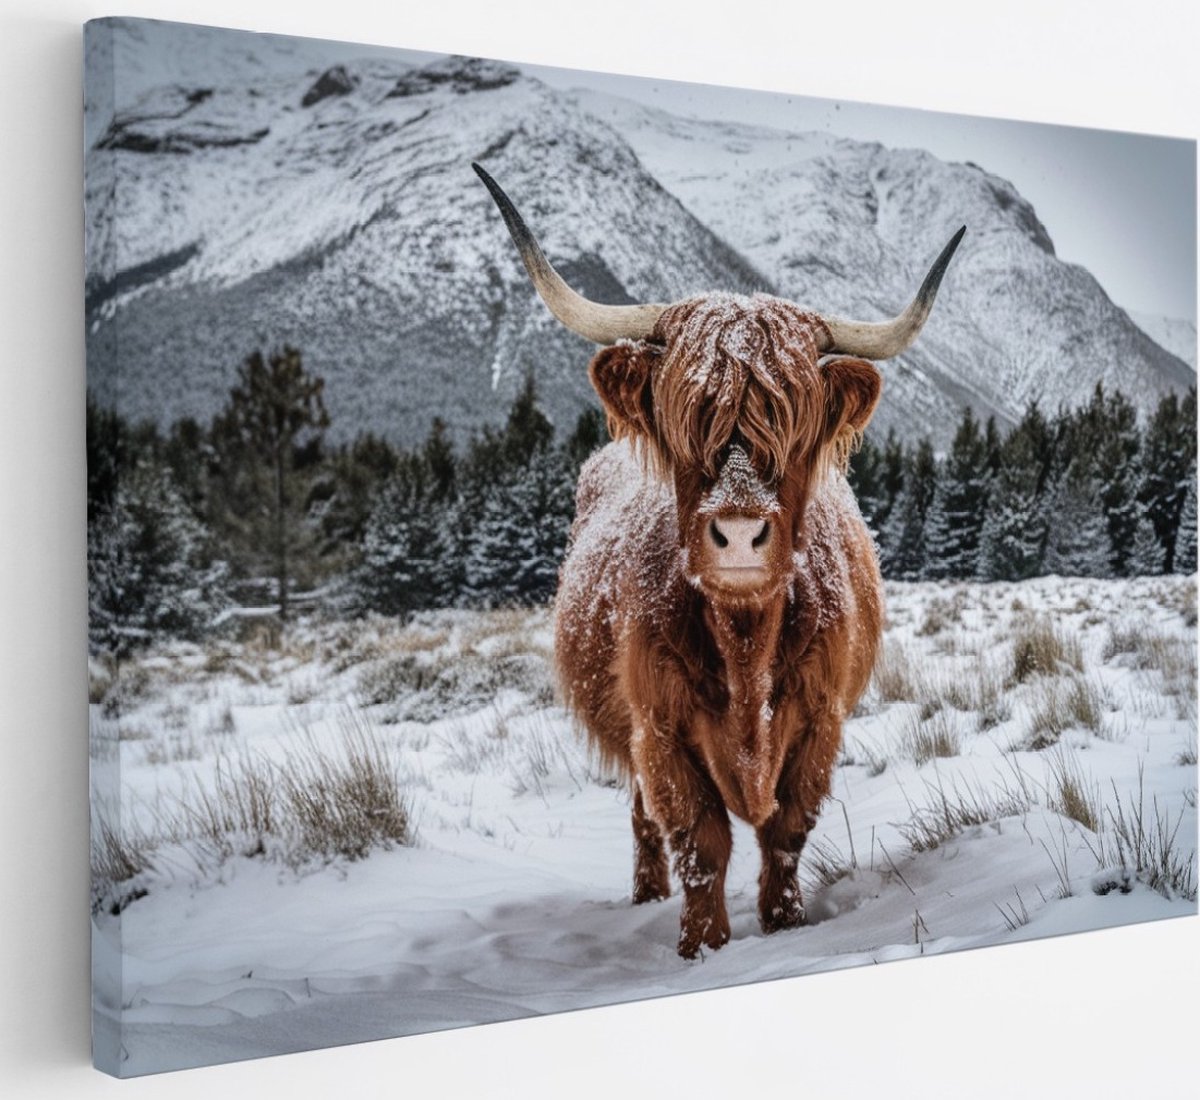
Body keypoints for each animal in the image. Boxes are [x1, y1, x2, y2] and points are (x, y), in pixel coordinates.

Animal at [473, 162, 963, 957]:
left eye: (795, 426)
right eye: (685, 421)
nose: (737, 534)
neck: (744, 642)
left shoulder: (820, 720)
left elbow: (786, 831)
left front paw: (785, 922)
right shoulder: (660, 729)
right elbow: (699, 840)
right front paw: (701, 946)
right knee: (642, 820)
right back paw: (645, 896)